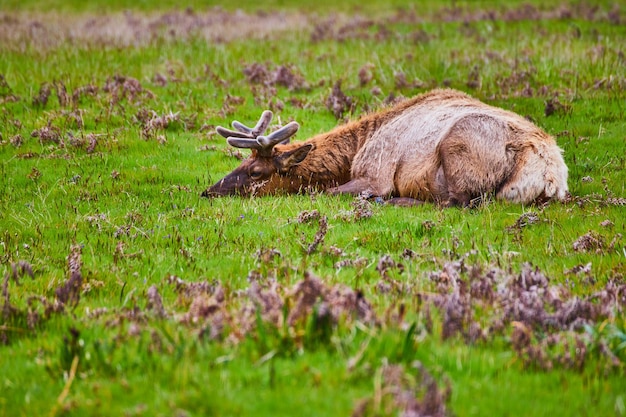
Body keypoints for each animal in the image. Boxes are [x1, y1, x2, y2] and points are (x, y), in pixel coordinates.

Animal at [202, 88, 568, 206]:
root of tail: (550, 173)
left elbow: (322, 193)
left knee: (457, 202)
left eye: (255, 172)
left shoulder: (374, 174)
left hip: (458, 146)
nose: (209, 191)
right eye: (239, 164)